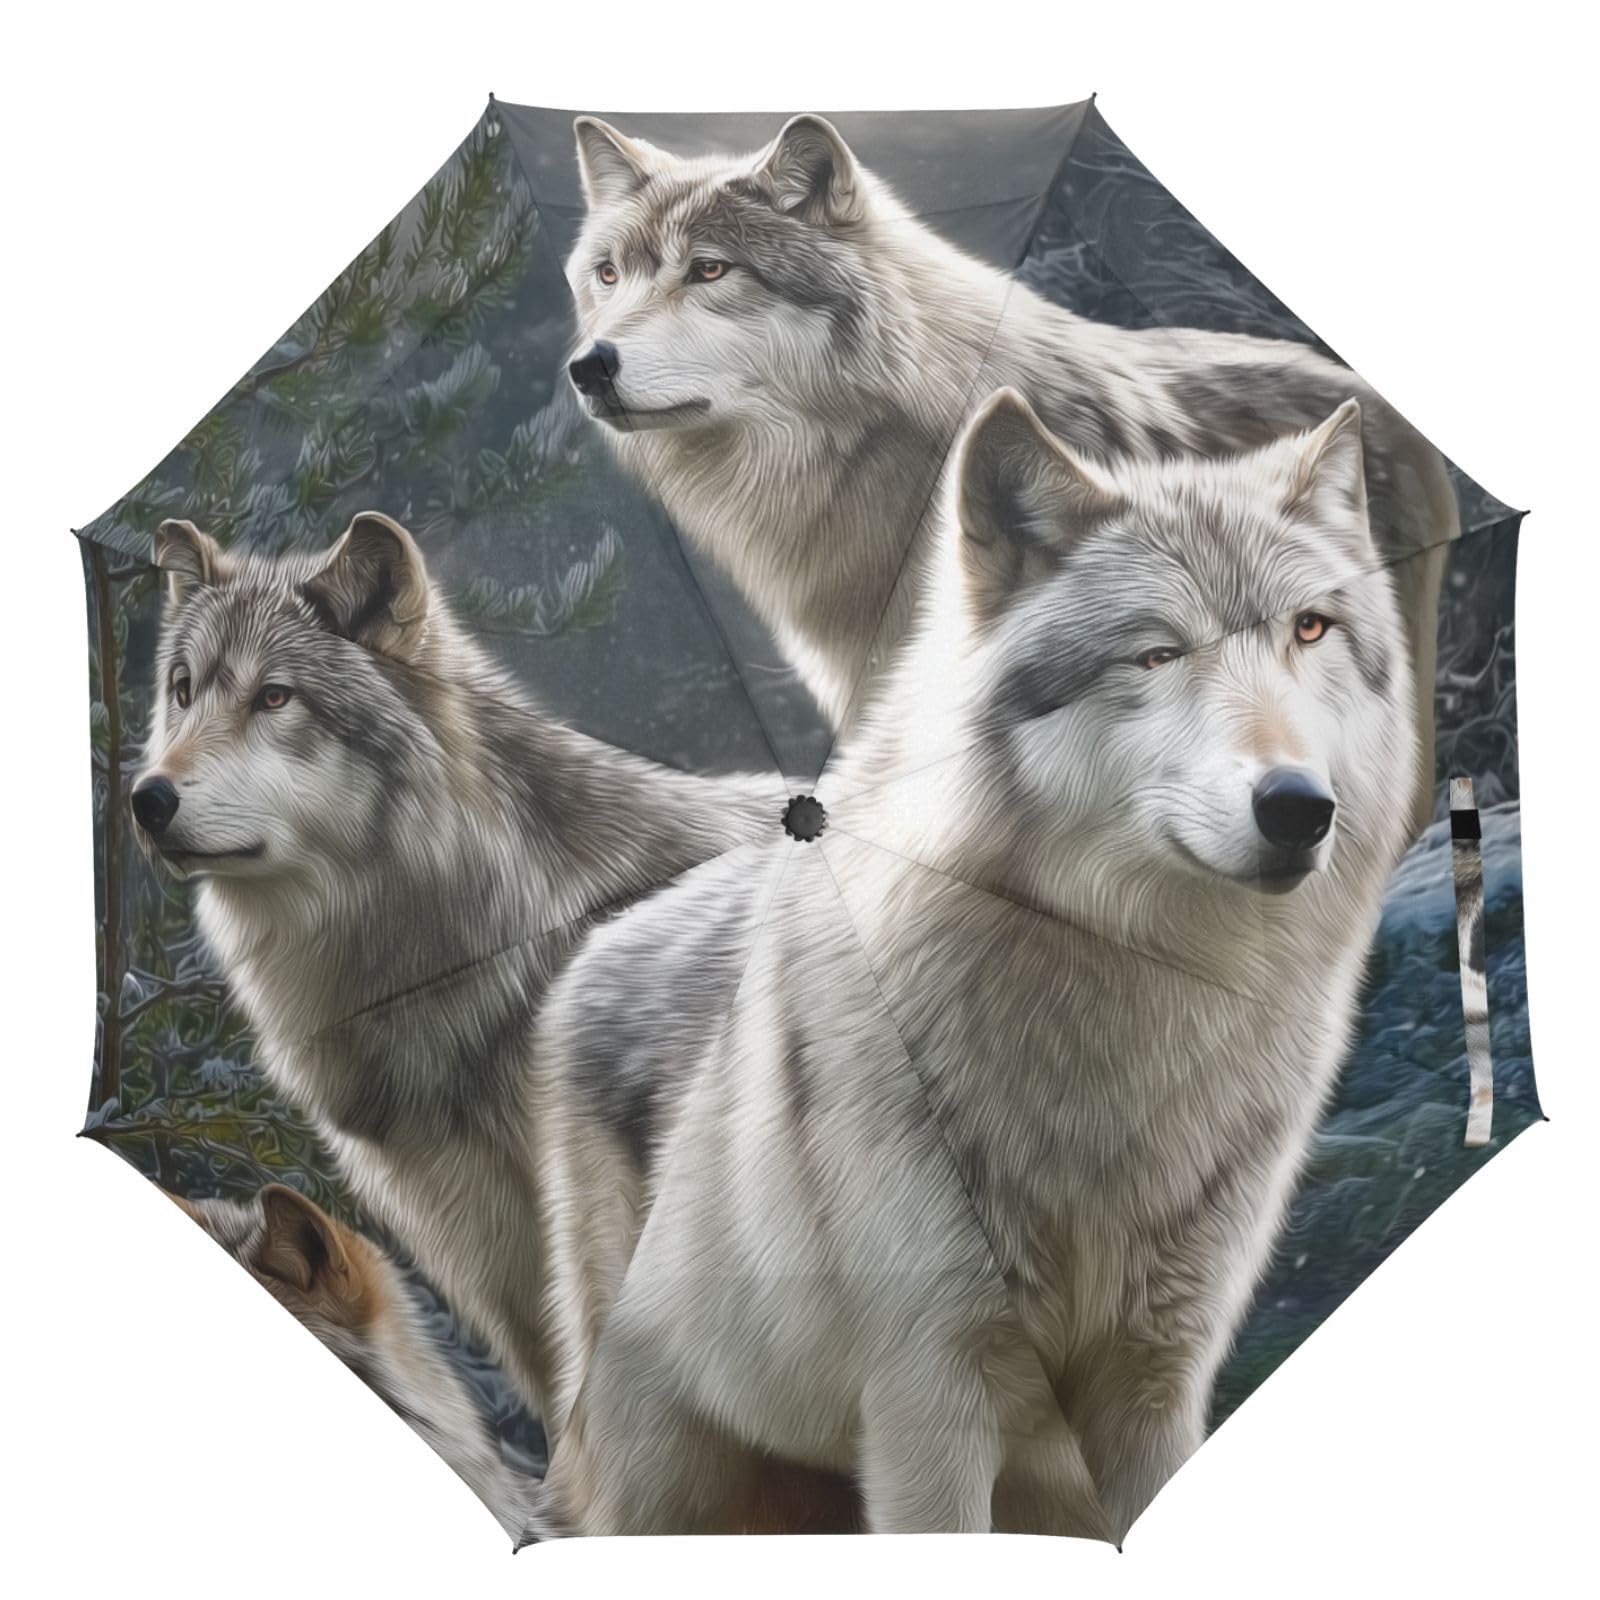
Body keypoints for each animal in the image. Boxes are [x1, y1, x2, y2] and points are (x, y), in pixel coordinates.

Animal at [531, 392, 1419, 1539]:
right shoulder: (929, 1398)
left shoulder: (1156, 1380)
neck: (1132, 1012)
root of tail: (596, 950)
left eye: (1310, 629)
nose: (1299, 807)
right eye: (1155, 655)